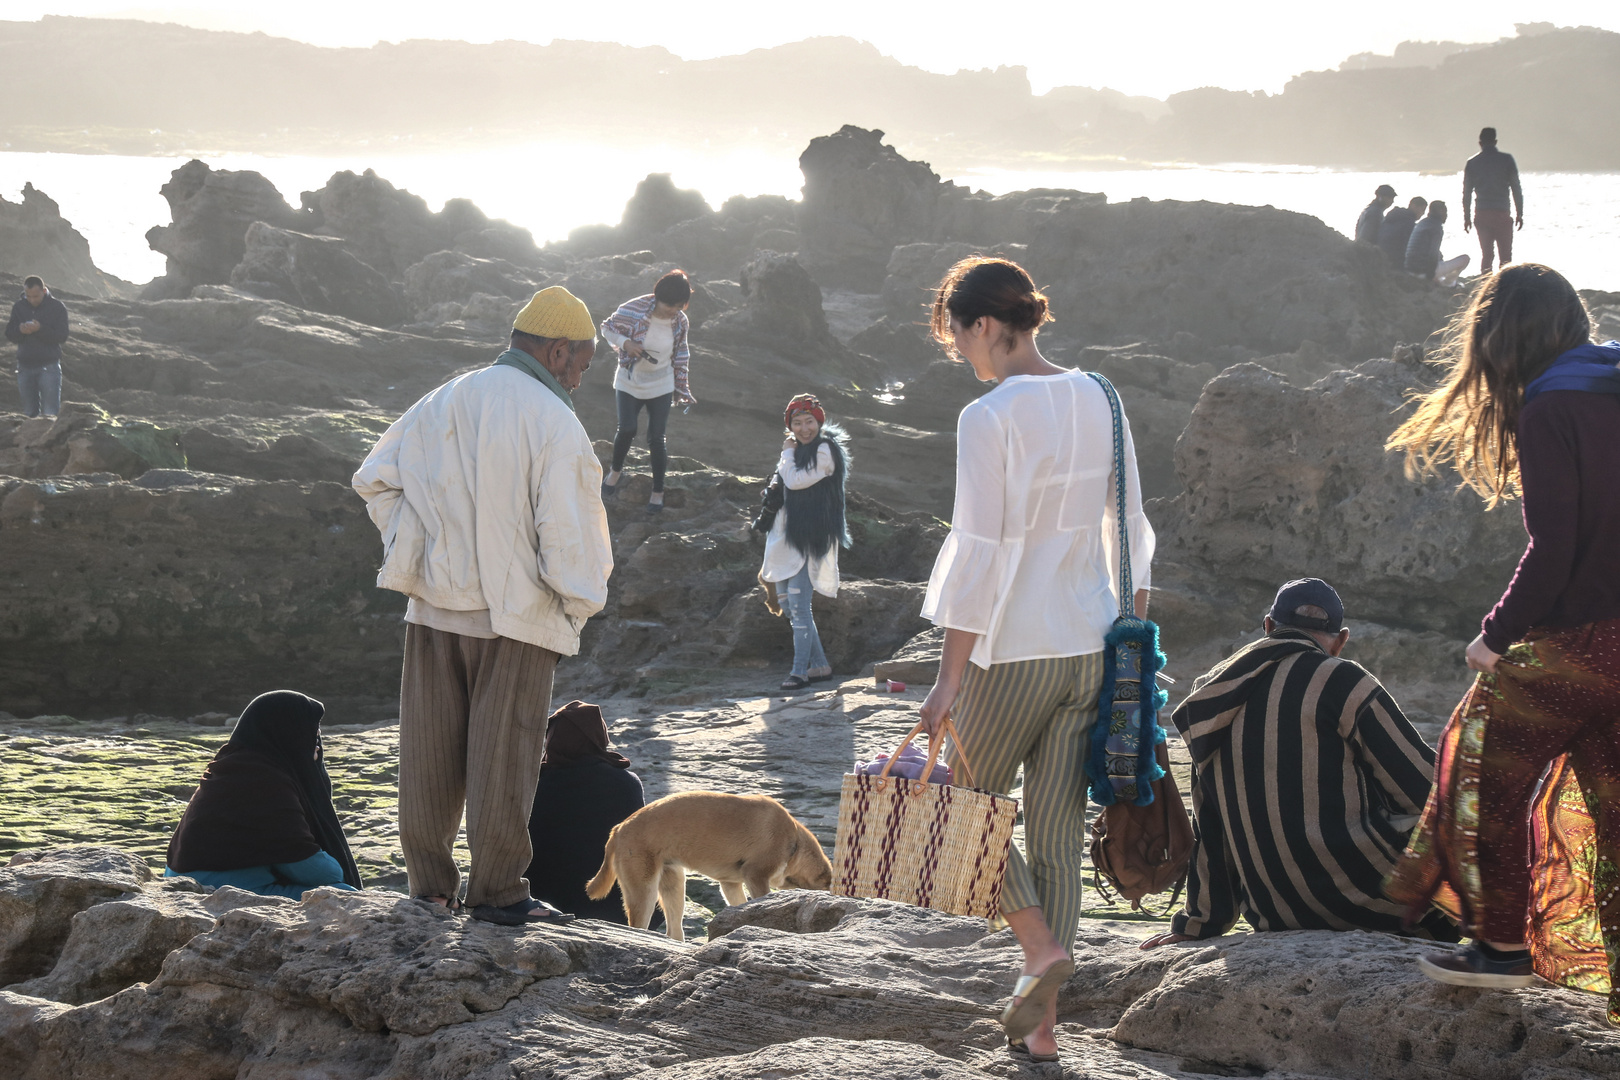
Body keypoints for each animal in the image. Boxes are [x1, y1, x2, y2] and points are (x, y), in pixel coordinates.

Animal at [586, 790, 835, 939]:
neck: (794, 842)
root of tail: (618, 829)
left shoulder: (730, 884)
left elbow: (741, 906)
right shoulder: (756, 875)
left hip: (674, 886)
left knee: (674, 930)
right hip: (644, 891)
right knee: (638, 925)